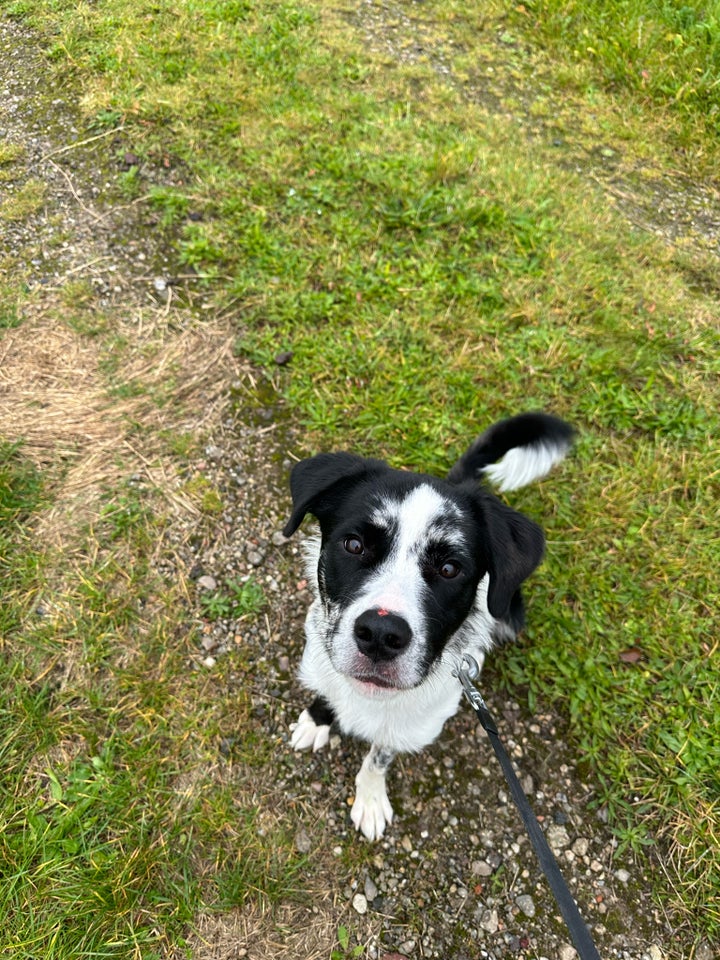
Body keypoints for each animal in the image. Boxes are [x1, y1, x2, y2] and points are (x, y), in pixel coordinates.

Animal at [284, 412, 572, 840]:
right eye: (354, 545)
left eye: (450, 569)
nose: (381, 635)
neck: (370, 697)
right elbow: (327, 690)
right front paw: (317, 720)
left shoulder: (408, 726)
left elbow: (379, 757)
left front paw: (370, 798)